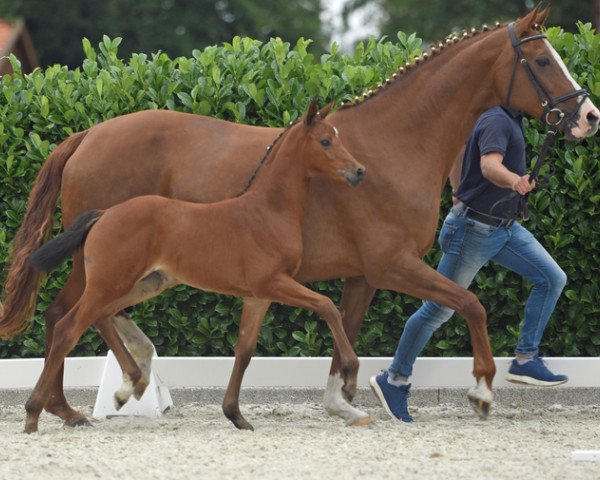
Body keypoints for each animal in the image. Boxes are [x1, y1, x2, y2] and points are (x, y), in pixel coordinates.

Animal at [24, 103, 366, 434]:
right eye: (325, 140)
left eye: (338, 137)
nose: (359, 171)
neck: (267, 211)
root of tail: (104, 214)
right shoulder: (272, 283)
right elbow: (328, 306)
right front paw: (349, 378)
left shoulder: (257, 297)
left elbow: (244, 351)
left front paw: (236, 416)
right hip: (107, 283)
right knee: (67, 328)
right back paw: (36, 413)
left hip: (145, 283)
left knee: (102, 316)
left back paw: (129, 386)